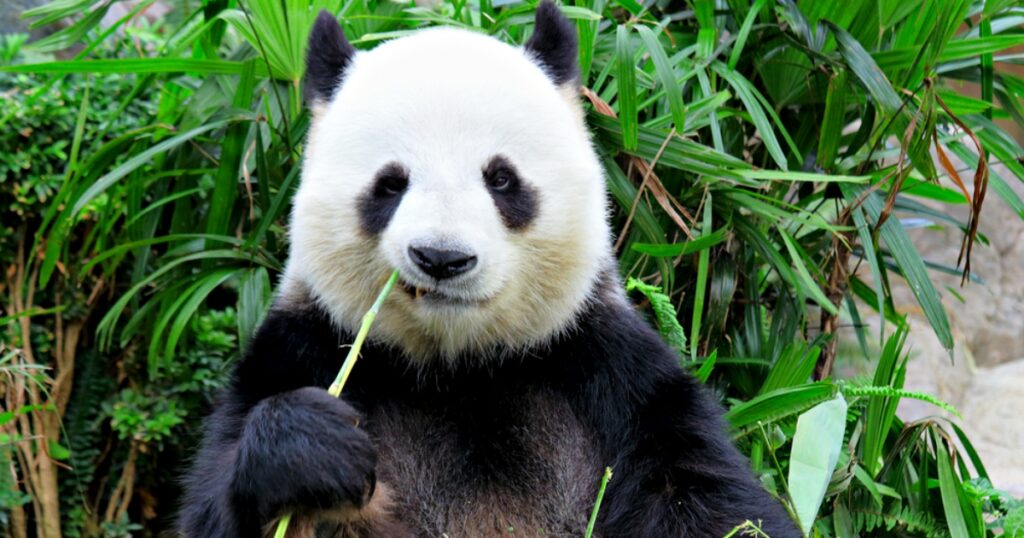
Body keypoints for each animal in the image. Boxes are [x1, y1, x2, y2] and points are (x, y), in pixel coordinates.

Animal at [179, 3, 801, 537]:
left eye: (501, 179)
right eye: (390, 184)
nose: (442, 258)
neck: (458, 367)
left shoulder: (608, 371)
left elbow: (707, 498)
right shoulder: (301, 348)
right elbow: (214, 503)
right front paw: (312, 450)